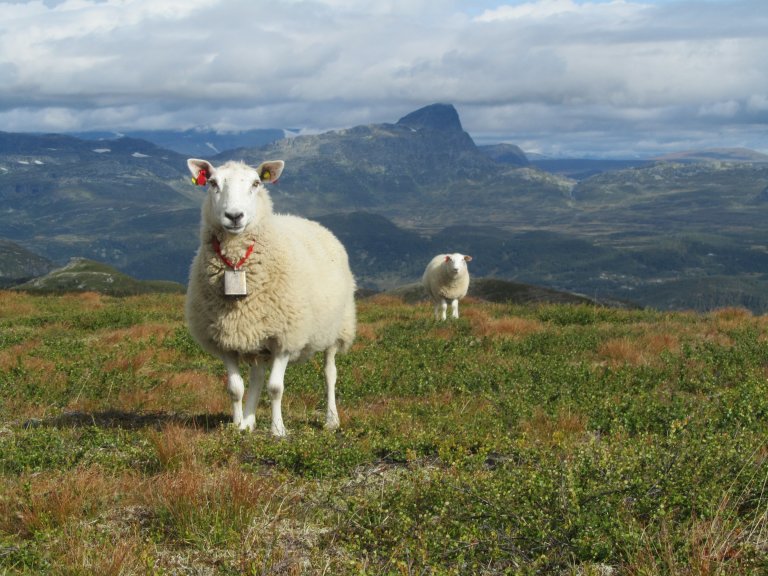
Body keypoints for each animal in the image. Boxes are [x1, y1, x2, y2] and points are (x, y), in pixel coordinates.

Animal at [186, 158, 356, 436]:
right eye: (212, 183)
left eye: (256, 183)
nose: (234, 216)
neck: (237, 265)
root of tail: (307, 221)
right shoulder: (226, 339)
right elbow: (235, 388)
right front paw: (237, 425)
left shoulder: (285, 337)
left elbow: (276, 388)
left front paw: (278, 430)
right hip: (258, 337)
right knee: (256, 376)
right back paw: (248, 421)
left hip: (337, 328)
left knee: (330, 372)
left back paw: (331, 419)